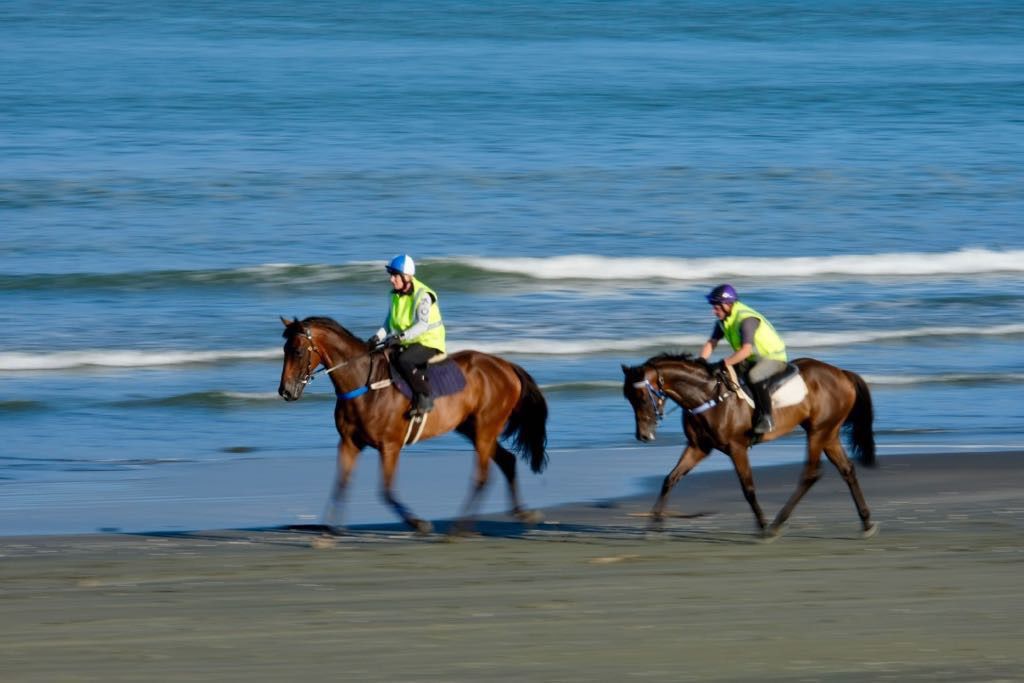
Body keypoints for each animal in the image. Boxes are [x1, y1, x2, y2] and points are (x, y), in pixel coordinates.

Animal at [276, 315, 548, 532]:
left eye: (297, 351)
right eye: (284, 349)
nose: (285, 391)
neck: (363, 384)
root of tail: (506, 366)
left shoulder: (390, 446)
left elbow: (386, 490)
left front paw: (418, 523)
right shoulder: (349, 443)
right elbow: (340, 484)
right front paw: (330, 529)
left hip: (485, 428)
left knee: (482, 476)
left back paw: (460, 527)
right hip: (473, 429)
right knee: (507, 461)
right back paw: (523, 513)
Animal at [618, 352, 876, 540]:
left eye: (641, 397)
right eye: (628, 398)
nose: (643, 435)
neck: (705, 396)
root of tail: (842, 373)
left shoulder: (736, 448)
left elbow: (748, 489)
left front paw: (762, 525)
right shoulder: (698, 447)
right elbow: (669, 479)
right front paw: (654, 524)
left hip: (818, 431)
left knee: (810, 474)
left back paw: (776, 523)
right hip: (828, 433)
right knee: (846, 469)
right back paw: (866, 521)